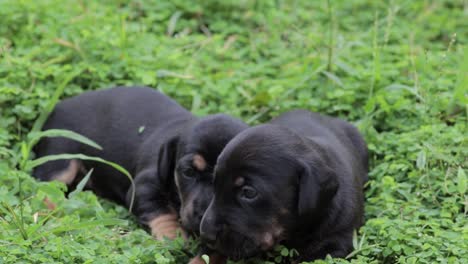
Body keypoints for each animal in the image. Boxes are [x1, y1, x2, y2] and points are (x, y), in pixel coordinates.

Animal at [32, 87, 249, 241]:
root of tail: (55, 109)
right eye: (188, 172)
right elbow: (162, 213)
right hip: (60, 160)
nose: (203, 216)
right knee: (46, 188)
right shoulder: (144, 188)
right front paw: (174, 237)